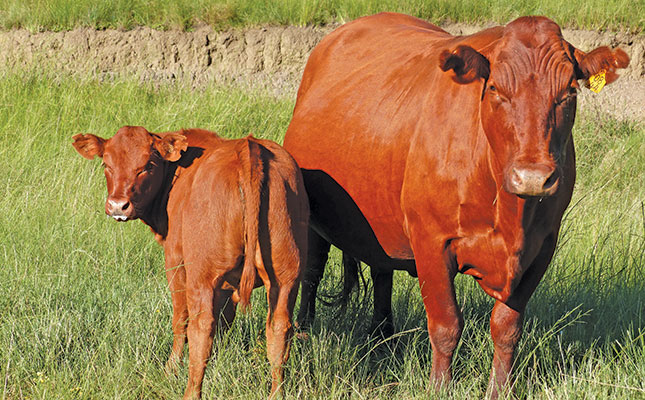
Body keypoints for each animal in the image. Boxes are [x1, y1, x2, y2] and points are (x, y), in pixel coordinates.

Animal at [72, 126, 309, 399]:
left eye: (148, 165)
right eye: (106, 164)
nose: (118, 205)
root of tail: (249, 147)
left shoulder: (176, 262)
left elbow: (181, 320)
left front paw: (171, 370)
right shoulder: (229, 285)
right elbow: (225, 321)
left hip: (202, 276)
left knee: (200, 327)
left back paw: (190, 391)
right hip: (286, 278)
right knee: (279, 329)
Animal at [283, 12, 629, 397]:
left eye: (569, 91)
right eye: (495, 89)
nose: (533, 177)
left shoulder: (542, 248)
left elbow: (507, 327)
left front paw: (499, 389)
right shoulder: (431, 241)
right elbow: (446, 325)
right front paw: (439, 387)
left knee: (381, 270)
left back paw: (382, 339)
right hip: (311, 215)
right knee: (312, 271)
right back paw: (305, 334)